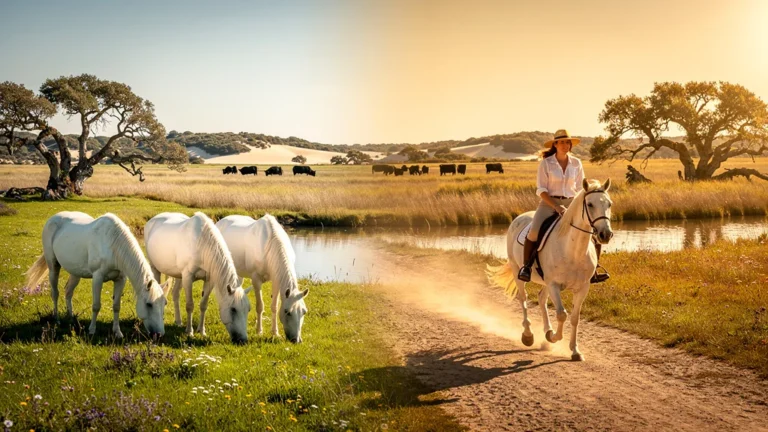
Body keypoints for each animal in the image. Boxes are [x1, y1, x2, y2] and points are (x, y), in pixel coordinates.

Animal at [24, 212, 170, 338]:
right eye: (149, 304)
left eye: (165, 304)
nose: (159, 334)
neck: (113, 244)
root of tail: (53, 218)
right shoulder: (97, 278)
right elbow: (96, 306)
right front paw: (92, 330)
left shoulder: (120, 279)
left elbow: (116, 306)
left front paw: (117, 332)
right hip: (53, 266)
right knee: (55, 293)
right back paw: (57, 320)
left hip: (75, 272)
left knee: (68, 292)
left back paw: (71, 317)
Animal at [144, 212, 251, 343]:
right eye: (233, 309)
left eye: (248, 309)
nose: (243, 340)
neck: (202, 244)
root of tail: (152, 220)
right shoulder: (188, 277)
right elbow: (190, 305)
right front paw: (190, 332)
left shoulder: (209, 280)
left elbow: (203, 304)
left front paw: (202, 331)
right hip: (156, 268)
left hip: (179, 276)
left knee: (175, 294)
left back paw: (178, 321)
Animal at [215, 214, 308, 343]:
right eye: (287, 312)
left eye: (304, 312)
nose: (297, 340)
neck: (270, 244)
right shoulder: (256, 280)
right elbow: (260, 306)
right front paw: (259, 331)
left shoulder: (276, 281)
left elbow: (274, 307)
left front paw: (275, 332)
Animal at [487, 179, 614, 361]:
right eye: (590, 204)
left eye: (609, 204)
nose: (605, 234)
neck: (573, 250)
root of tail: (519, 217)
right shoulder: (554, 284)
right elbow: (562, 314)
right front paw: (554, 337)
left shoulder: (583, 288)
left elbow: (574, 318)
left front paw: (574, 351)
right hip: (518, 271)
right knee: (523, 298)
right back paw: (528, 335)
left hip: (545, 281)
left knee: (541, 298)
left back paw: (547, 331)